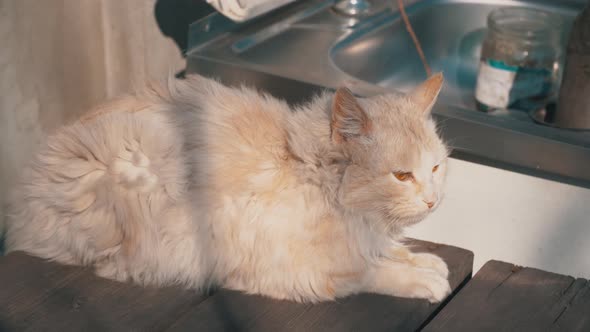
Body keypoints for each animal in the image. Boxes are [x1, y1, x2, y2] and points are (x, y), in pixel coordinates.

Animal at [4, 74, 450, 302]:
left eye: (435, 167)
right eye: (402, 176)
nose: (433, 201)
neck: (310, 172)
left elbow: (386, 252)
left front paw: (422, 261)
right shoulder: (299, 270)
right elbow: (369, 272)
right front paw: (421, 280)